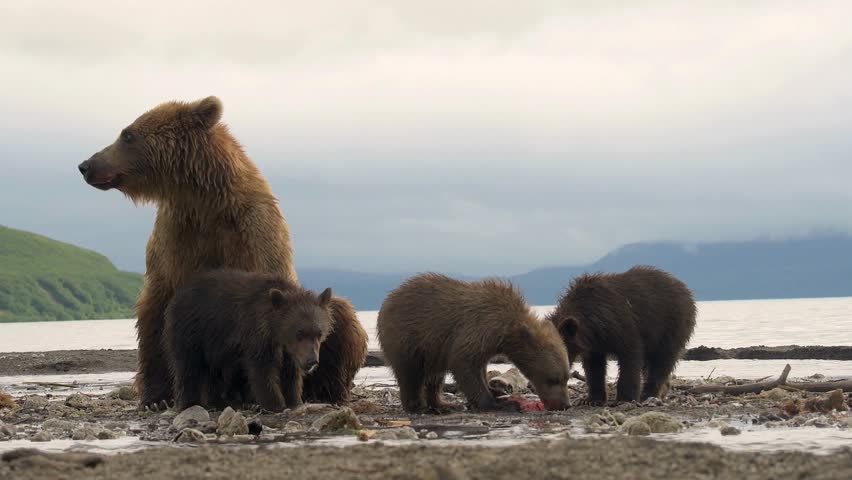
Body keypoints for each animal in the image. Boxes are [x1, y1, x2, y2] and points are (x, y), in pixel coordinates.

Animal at [163, 269, 334, 412]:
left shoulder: (289, 352)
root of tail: (178, 294)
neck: (274, 330)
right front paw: (274, 404)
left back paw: (220, 402)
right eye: (299, 332)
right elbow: (262, 371)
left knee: (214, 372)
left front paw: (294, 400)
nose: (312, 361)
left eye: (319, 333)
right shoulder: (256, 336)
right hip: (193, 332)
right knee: (189, 367)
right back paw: (191, 403)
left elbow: (290, 373)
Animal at [377, 273, 570, 413]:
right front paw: (498, 403)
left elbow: (480, 368)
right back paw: (418, 406)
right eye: (553, 379)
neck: (506, 330)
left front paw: (497, 392)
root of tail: (388, 297)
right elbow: (464, 363)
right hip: (408, 337)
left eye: (566, 377)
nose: (564, 404)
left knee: (435, 377)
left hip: (433, 351)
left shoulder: (487, 344)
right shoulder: (478, 327)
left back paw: (444, 404)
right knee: (410, 374)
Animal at [546, 265, 696, 405]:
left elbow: (630, 357)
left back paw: (648, 394)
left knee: (661, 361)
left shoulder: (620, 324)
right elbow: (594, 368)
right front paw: (592, 399)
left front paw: (625, 398)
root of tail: (683, 286)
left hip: (671, 324)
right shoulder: (594, 344)